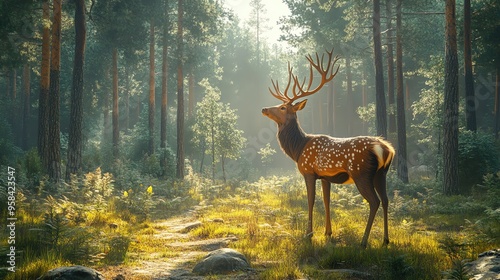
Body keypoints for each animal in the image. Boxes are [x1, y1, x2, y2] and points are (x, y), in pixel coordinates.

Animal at [262, 49, 394, 248]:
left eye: (283, 107)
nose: (264, 109)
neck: (298, 148)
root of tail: (386, 149)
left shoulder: (309, 171)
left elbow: (310, 200)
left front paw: (308, 234)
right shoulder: (325, 176)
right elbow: (326, 201)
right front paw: (328, 232)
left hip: (361, 173)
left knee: (374, 201)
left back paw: (363, 241)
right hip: (381, 173)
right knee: (386, 200)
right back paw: (385, 240)